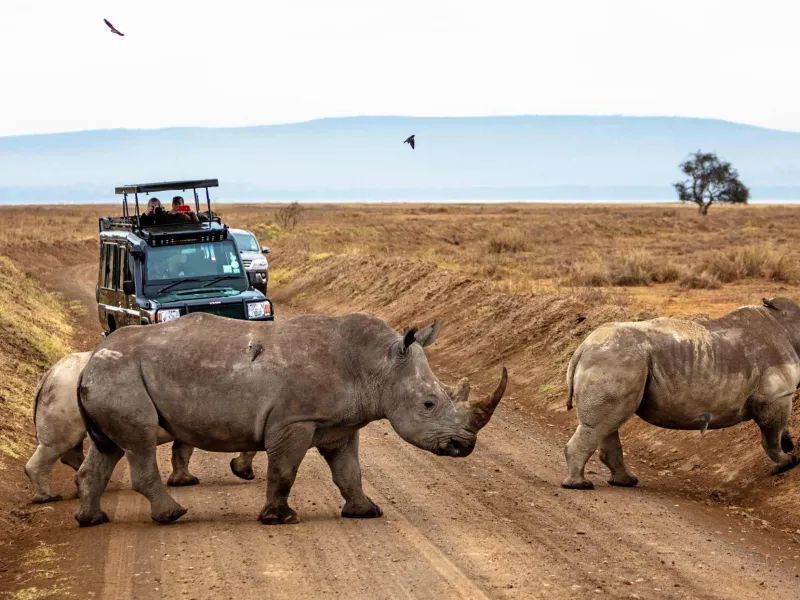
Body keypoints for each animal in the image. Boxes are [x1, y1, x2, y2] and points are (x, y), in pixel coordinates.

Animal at [25, 351, 258, 503]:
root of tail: (48, 374)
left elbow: (182, 450)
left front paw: (183, 481)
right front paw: (243, 472)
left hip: (65, 389)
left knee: (70, 445)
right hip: (65, 388)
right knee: (60, 443)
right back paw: (49, 498)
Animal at [74, 312, 507, 526]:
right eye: (429, 404)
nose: (464, 446)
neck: (377, 366)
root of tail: (88, 362)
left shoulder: (339, 425)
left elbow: (349, 471)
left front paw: (366, 512)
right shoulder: (294, 420)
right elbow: (284, 470)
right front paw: (280, 519)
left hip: (111, 378)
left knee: (106, 449)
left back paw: (92, 520)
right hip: (121, 378)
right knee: (140, 444)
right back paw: (173, 516)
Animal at [563, 297, 800, 490]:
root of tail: (582, 347)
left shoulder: (777, 396)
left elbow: (779, 429)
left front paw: (789, 445)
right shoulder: (776, 395)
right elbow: (770, 435)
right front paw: (787, 463)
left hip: (614, 359)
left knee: (609, 423)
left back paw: (625, 482)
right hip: (615, 359)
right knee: (602, 423)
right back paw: (580, 485)